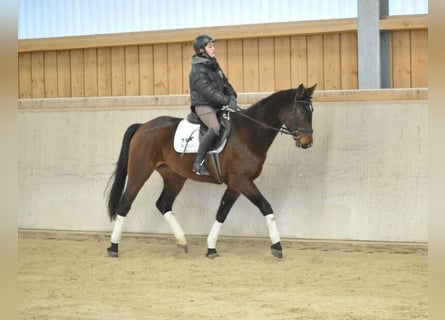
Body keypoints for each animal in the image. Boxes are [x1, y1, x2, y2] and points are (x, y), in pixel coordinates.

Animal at [105, 83, 314, 260]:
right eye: (301, 110)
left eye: (311, 111)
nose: (307, 142)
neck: (249, 134)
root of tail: (143, 126)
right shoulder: (242, 181)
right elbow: (266, 207)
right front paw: (277, 247)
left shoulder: (236, 185)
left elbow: (222, 212)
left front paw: (211, 248)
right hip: (140, 171)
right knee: (125, 204)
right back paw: (114, 247)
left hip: (174, 177)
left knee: (163, 204)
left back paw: (182, 241)